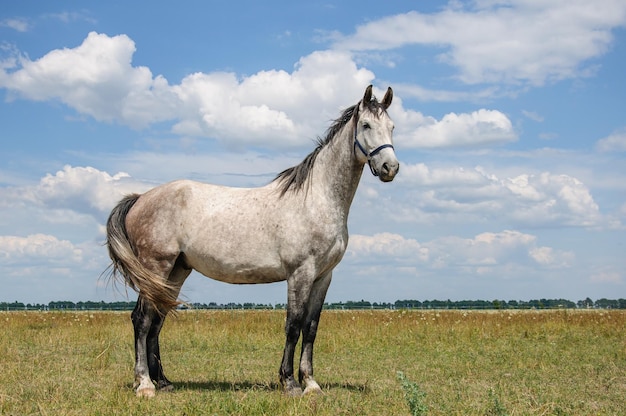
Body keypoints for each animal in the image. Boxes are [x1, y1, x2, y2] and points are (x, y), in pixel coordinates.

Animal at [105, 83, 398, 396]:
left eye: (392, 127)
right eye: (366, 125)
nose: (390, 168)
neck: (316, 198)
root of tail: (139, 199)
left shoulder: (323, 276)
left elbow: (311, 327)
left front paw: (311, 383)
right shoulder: (300, 273)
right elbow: (293, 324)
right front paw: (290, 382)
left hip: (176, 271)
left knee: (157, 320)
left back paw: (163, 381)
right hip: (156, 267)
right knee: (142, 319)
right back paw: (145, 384)